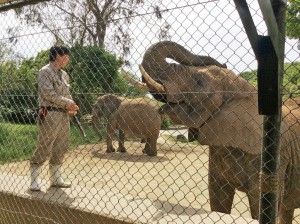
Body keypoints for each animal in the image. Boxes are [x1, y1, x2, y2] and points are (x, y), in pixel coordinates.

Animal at [127, 40, 300, 224]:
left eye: (198, 82)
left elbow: (259, 202)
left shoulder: (273, 155)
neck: (244, 89)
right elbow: (218, 197)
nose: (223, 63)